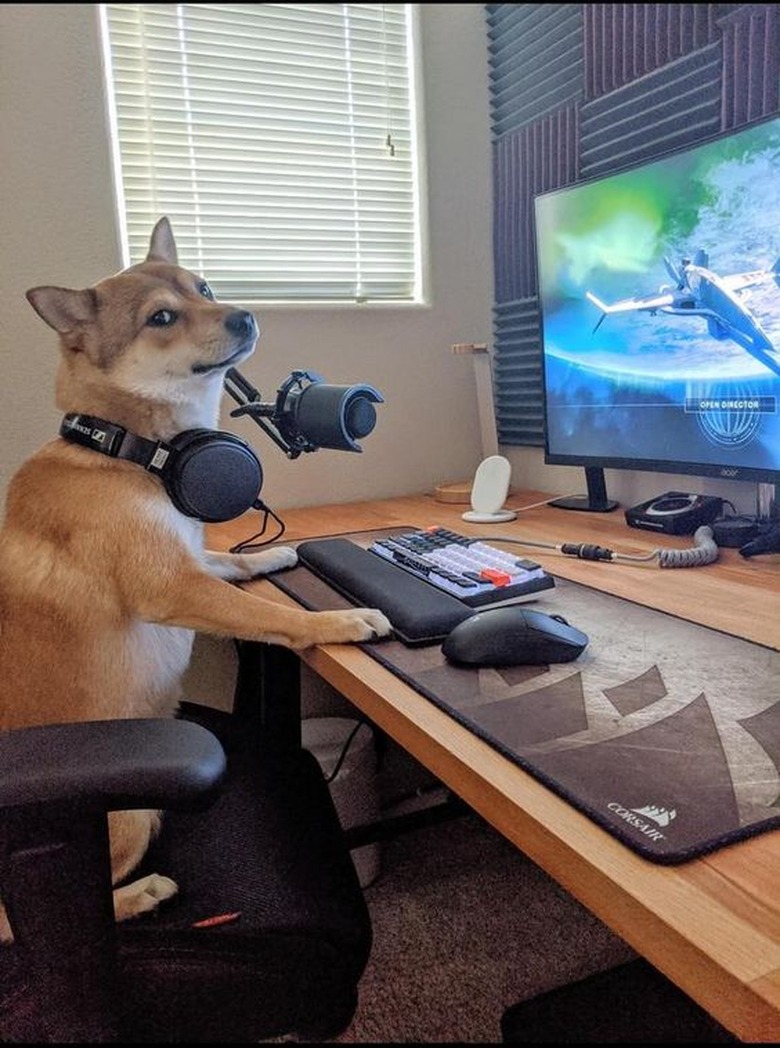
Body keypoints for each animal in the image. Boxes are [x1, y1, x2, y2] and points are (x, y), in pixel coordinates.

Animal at [0, 216, 389, 939]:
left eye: (203, 287)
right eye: (161, 317)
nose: (243, 313)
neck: (133, 450)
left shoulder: (190, 556)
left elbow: (231, 562)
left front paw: (275, 556)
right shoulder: (172, 585)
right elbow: (275, 618)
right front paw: (339, 619)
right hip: (127, 819)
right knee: (18, 924)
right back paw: (143, 894)